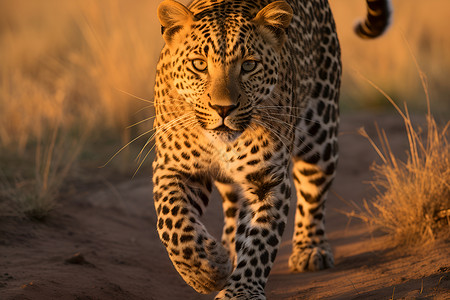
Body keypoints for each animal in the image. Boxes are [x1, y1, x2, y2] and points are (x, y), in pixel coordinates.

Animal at [151, 0, 390, 298]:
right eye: (199, 65)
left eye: (249, 65)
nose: (222, 109)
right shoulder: (174, 166)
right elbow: (172, 223)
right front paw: (208, 270)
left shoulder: (266, 179)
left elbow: (260, 241)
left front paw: (240, 291)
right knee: (232, 206)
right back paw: (227, 251)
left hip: (320, 134)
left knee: (313, 193)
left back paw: (310, 249)